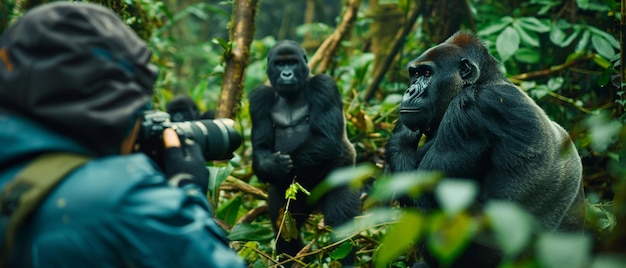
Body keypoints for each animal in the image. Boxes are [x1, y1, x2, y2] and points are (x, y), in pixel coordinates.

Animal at [247, 39, 358, 264]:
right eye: (280, 64)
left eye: (292, 62)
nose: (286, 74)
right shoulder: (259, 97)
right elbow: (261, 147)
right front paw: (271, 166)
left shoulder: (324, 86)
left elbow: (326, 139)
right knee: (284, 226)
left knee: (341, 224)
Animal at [382, 31, 584, 268]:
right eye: (414, 74)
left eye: (427, 73)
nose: (410, 91)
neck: (485, 79)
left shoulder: (470, 109)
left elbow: (428, 203)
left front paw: (402, 136)